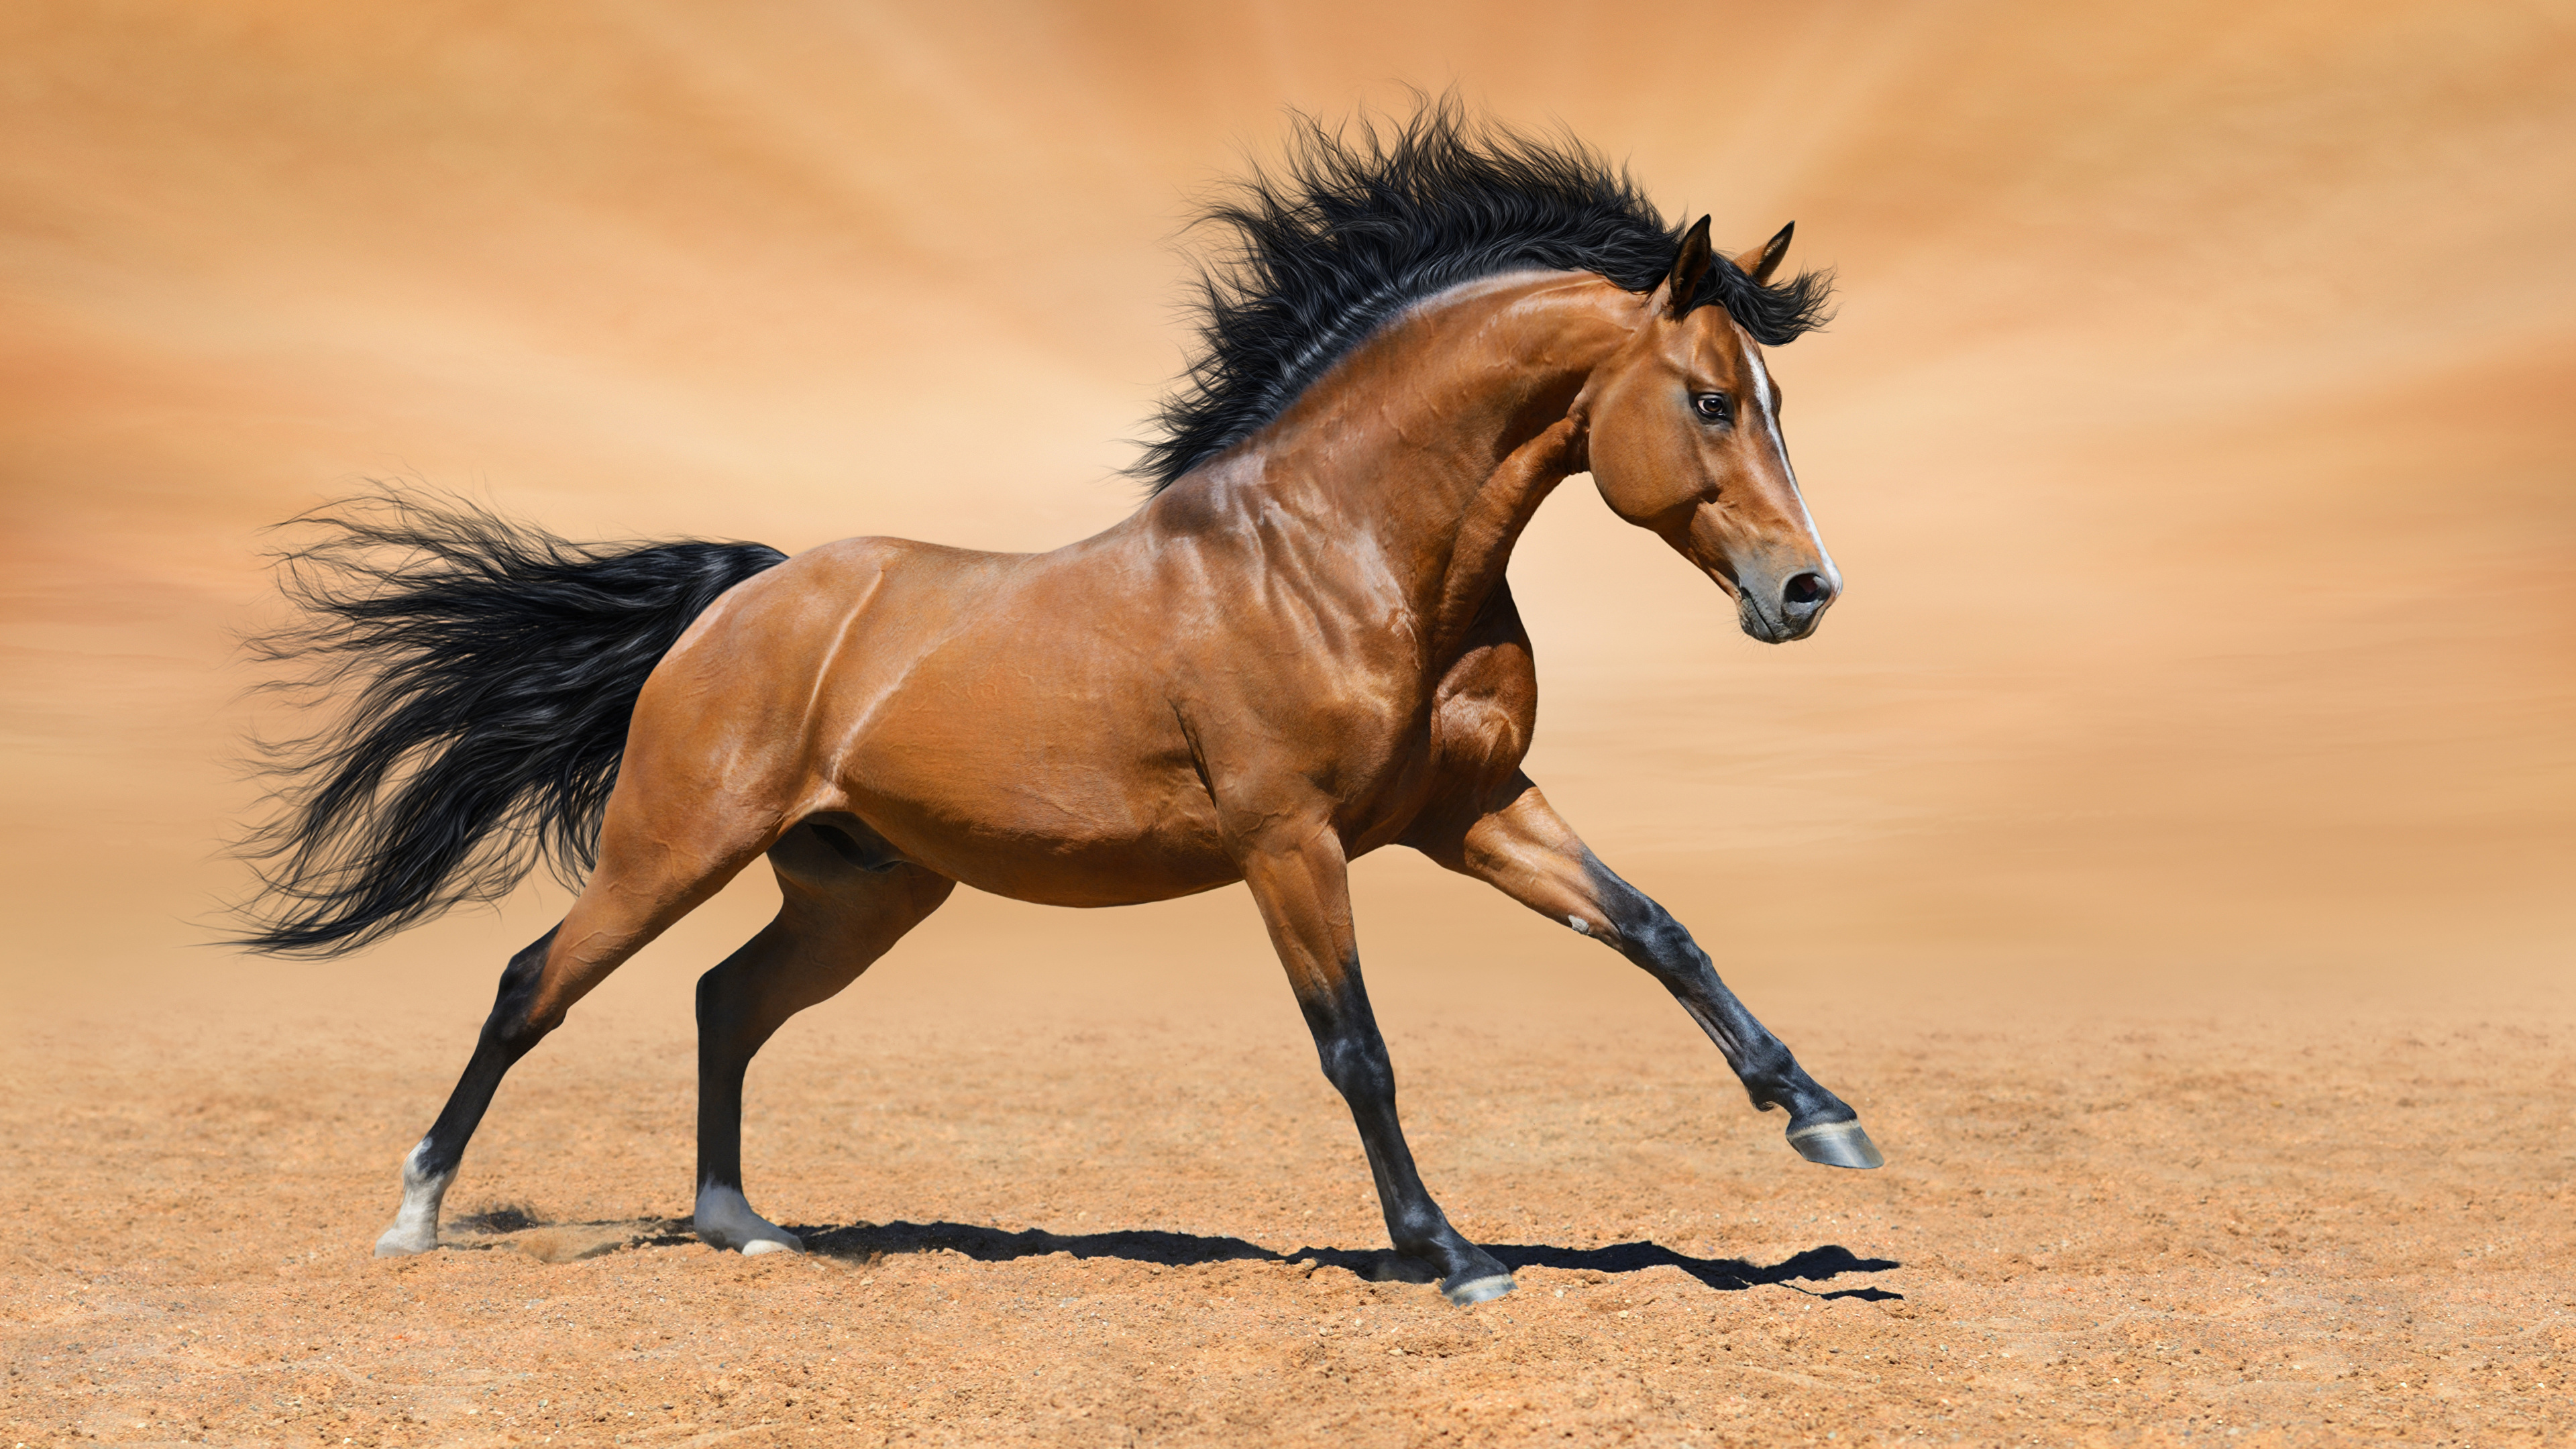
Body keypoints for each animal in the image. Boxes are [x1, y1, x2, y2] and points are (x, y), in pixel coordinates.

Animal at [241, 101, 1885, 1299]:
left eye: (1775, 398)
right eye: (1711, 400)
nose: (1807, 593)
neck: (1346, 554)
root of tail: (743, 597)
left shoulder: (1474, 811)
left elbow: (1660, 931)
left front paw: (1824, 1119)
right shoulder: (1290, 842)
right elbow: (1357, 1047)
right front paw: (1453, 1255)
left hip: (864, 889)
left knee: (725, 1000)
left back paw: (745, 1225)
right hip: (672, 846)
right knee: (535, 984)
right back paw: (415, 1219)